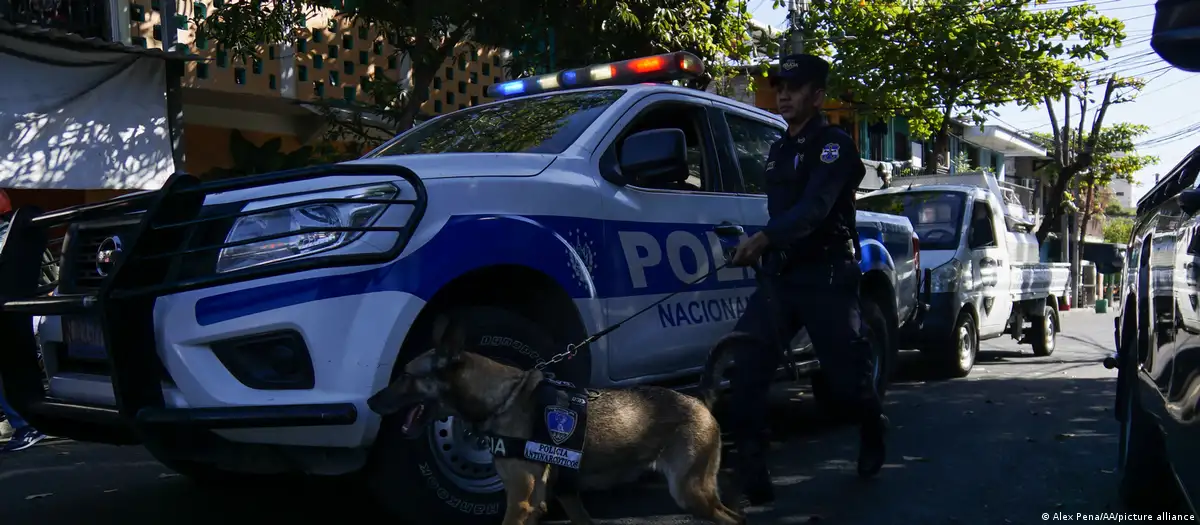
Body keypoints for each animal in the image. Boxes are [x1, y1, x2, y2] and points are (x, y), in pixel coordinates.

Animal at [367, 316, 739, 525]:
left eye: (405, 375)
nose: (370, 401)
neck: (503, 398)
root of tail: (697, 398)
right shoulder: (551, 501)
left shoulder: (520, 503)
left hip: (690, 492)